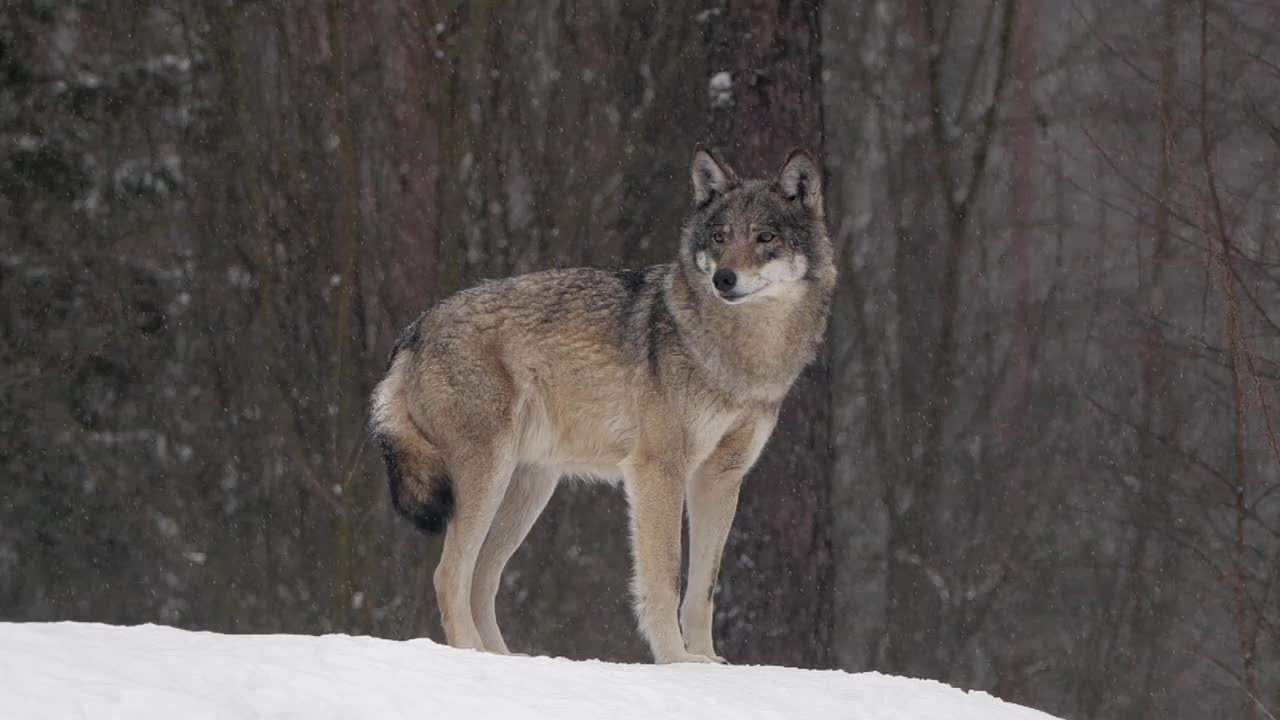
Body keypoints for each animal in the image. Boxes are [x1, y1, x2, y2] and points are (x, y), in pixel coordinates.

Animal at [368, 146, 839, 661]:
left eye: (765, 237)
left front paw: (708, 663)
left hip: (527, 491)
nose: (723, 278)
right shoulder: (658, 469)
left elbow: (703, 588)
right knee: (449, 577)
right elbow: (665, 577)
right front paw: (676, 662)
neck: (741, 354)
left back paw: (507, 660)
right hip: (486, 480)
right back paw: (476, 656)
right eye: (719, 237)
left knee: (481, 583)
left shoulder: (720, 478)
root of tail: (413, 330)